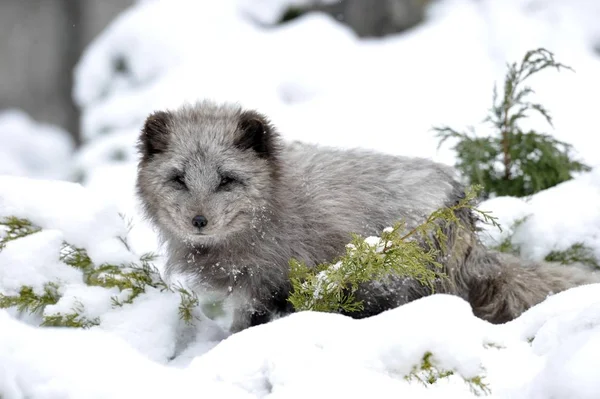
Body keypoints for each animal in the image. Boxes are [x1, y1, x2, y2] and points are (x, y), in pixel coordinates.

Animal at [137, 101, 600, 332]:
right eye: (178, 179)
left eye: (227, 180)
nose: (199, 222)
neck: (274, 203)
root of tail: (462, 212)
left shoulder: (263, 286)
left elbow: (244, 328)